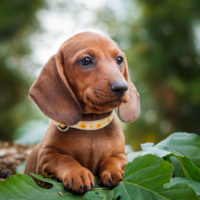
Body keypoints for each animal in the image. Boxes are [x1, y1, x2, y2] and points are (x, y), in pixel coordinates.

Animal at [24, 31, 141, 194]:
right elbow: (65, 159)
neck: (91, 125)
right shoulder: (46, 157)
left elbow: (113, 160)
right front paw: (78, 173)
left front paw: (112, 171)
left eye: (119, 59)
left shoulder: (120, 155)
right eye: (85, 60)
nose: (122, 87)